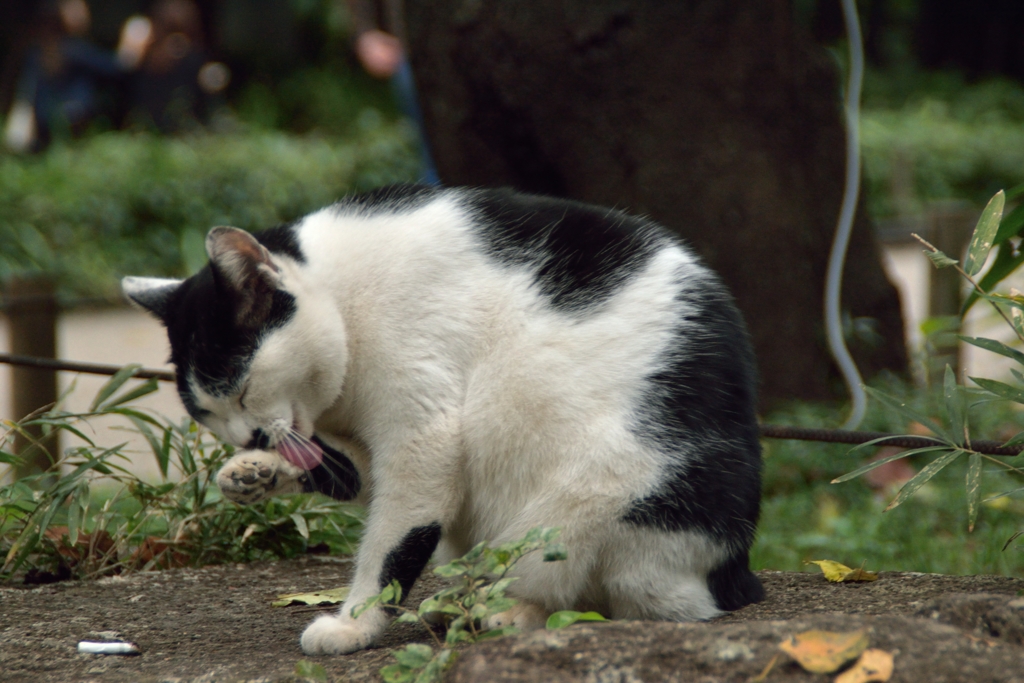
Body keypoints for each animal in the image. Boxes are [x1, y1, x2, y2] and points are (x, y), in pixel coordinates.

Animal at [121, 184, 761, 655]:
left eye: (243, 387)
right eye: (206, 412)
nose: (245, 436)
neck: (346, 302)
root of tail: (735, 573)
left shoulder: (422, 429)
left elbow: (392, 543)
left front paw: (355, 624)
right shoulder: (358, 448)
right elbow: (344, 472)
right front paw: (251, 473)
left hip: (592, 499)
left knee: (610, 601)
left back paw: (503, 612)